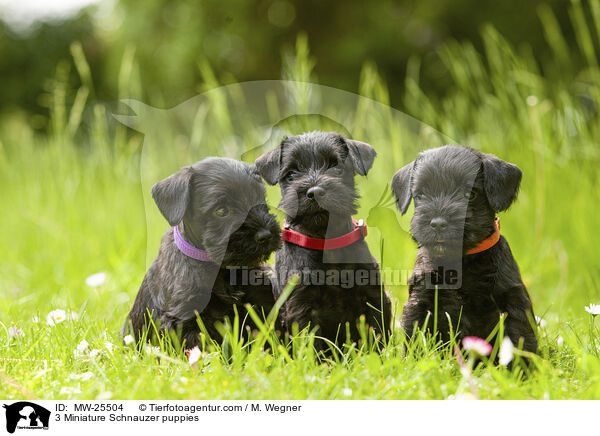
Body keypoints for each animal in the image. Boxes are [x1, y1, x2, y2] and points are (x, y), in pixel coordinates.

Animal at [123, 157, 282, 348]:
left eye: (261, 200)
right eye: (221, 211)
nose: (265, 235)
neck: (223, 268)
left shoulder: (262, 299)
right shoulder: (185, 317)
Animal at [254, 131, 392, 350]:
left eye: (336, 167)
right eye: (291, 174)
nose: (315, 192)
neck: (324, 240)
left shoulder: (372, 295)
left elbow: (378, 332)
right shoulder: (301, 304)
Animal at [392, 146, 536, 354]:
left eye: (470, 194)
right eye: (420, 195)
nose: (438, 224)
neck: (460, 259)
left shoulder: (512, 299)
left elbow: (519, 337)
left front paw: (522, 363)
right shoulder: (420, 300)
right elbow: (415, 335)